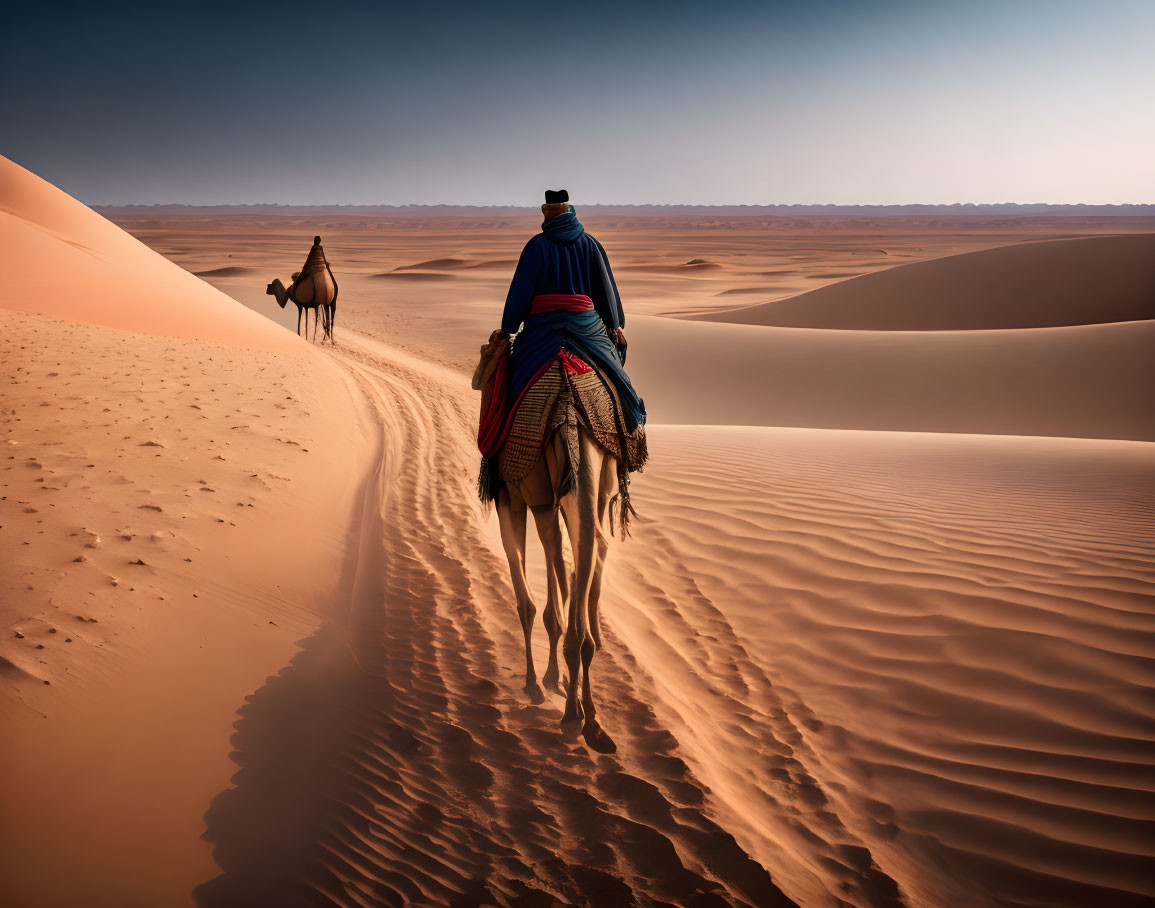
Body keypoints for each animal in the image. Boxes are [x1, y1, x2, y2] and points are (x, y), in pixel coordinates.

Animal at [473, 339, 623, 748]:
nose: (477, 379)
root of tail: (567, 405)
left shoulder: (515, 498)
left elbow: (530, 598)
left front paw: (537, 682)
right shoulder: (552, 499)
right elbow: (564, 573)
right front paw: (555, 680)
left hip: (539, 488)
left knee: (570, 560)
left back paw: (572, 707)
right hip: (590, 483)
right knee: (588, 550)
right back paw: (586, 714)